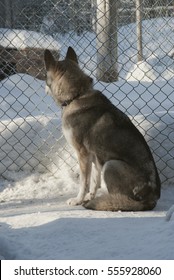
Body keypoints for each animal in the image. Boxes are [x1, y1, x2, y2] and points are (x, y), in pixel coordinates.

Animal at [43, 47, 160, 210]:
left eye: (45, 77)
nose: (43, 88)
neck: (77, 95)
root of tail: (151, 200)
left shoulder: (83, 154)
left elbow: (84, 183)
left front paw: (78, 200)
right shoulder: (95, 156)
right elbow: (94, 181)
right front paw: (90, 196)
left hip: (110, 164)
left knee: (121, 200)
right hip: (105, 163)